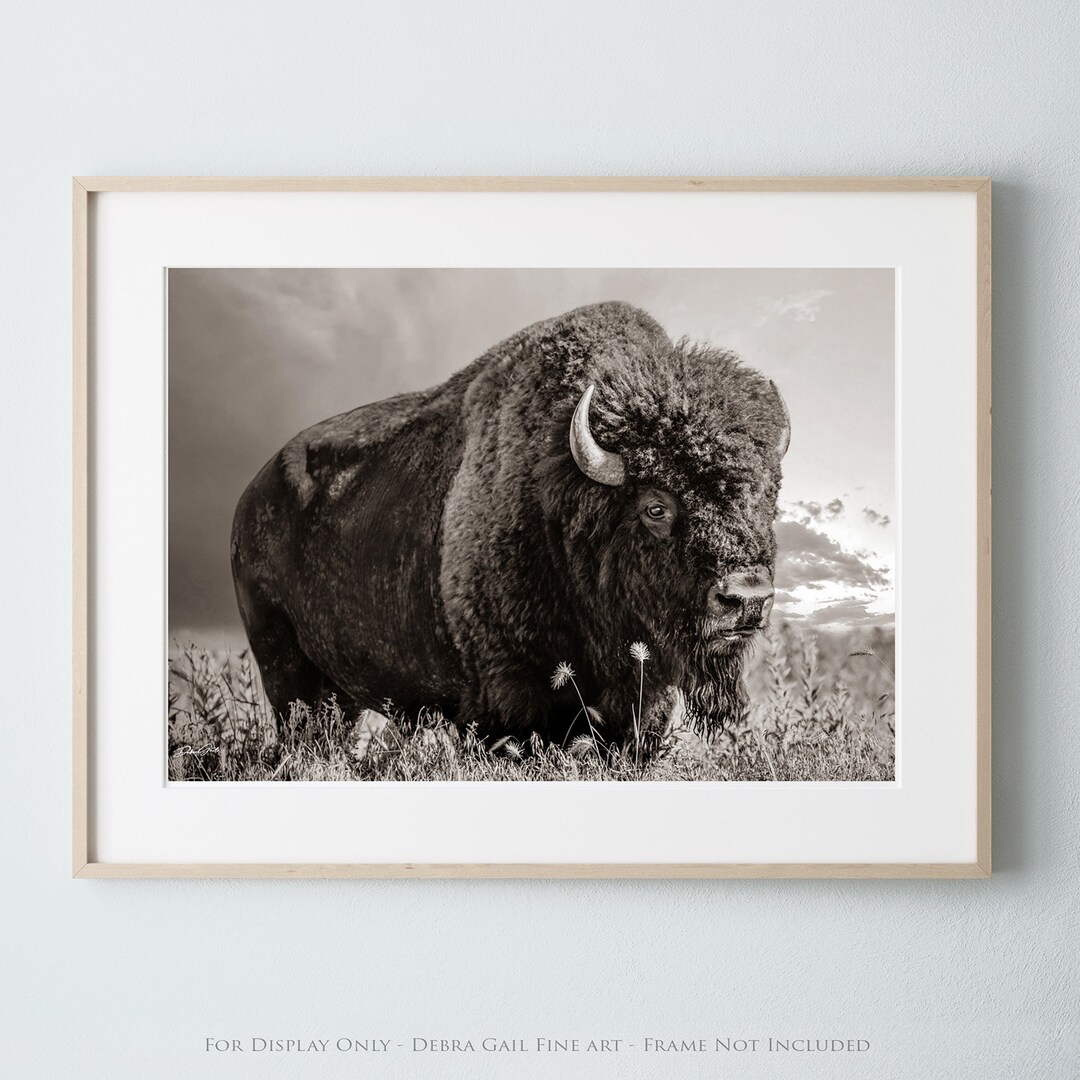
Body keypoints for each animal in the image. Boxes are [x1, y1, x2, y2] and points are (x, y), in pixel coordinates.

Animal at [231, 301, 789, 748]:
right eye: (655, 506)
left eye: (767, 496)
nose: (746, 599)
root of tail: (247, 500)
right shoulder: (507, 697)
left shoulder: (641, 700)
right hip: (287, 676)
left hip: (338, 695)